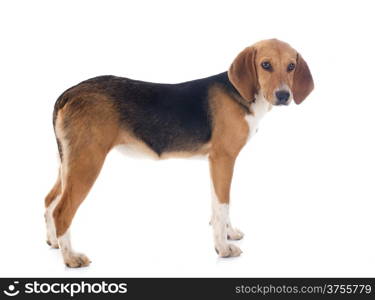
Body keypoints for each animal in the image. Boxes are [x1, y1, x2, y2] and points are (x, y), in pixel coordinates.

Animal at [44, 38, 314, 268]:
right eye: (265, 65)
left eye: (291, 66)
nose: (283, 95)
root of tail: (71, 92)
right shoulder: (223, 159)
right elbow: (223, 204)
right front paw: (223, 248)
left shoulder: (215, 163)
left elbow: (217, 205)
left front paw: (228, 234)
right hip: (87, 163)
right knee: (62, 211)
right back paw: (71, 258)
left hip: (68, 165)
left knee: (49, 202)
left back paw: (54, 242)